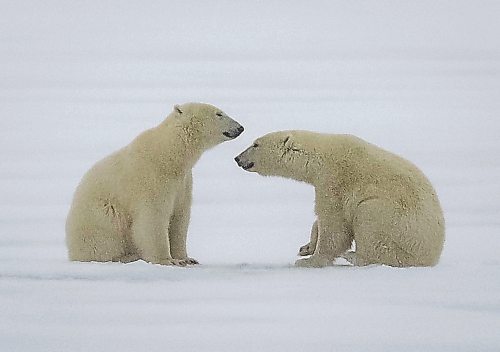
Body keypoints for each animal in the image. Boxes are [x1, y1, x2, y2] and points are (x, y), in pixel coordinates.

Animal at [66, 103, 244, 266]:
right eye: (219, 114)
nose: (240, 128)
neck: (169, 154)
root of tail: (72, 252)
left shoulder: (183, 183)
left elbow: (180, 217)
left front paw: (187, 258)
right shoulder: (153, 179)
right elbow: (153, 218)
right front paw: (168, 260)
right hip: (98, 217)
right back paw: (126, 256)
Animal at [234, 131, 446, 266]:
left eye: (255, 144)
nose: (237, 158)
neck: (320, 156)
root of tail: (433, 256)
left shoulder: (334, 179)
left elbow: (334, 223)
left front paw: (310, 261)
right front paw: (306, 247)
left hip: (401, 225)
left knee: (370, 219)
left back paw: (354, 256)